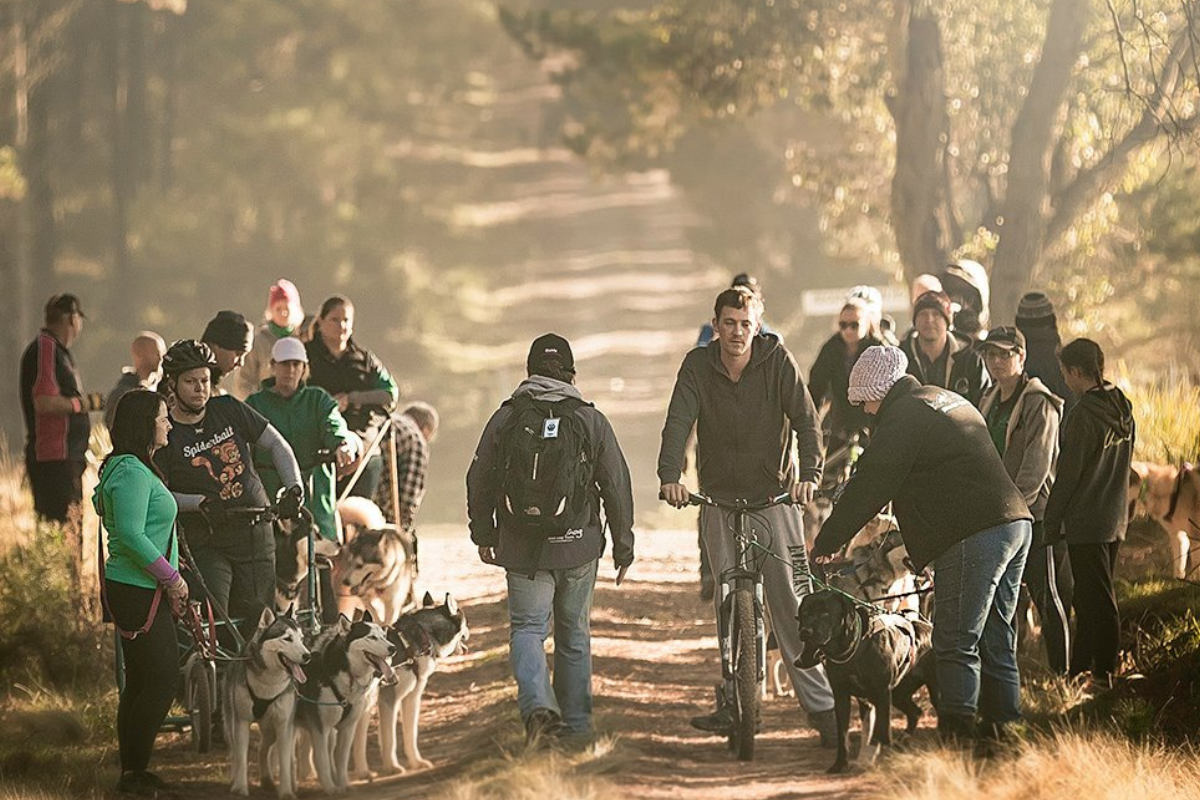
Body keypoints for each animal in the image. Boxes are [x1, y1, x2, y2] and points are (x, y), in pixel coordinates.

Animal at [224, 609, 309, 796]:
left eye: (301, 638)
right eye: (287, 638)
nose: (308, 656)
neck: (268, 683)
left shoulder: (284, 725)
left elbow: (284, 761)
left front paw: (286, 792)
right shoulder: (242, 722)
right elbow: (242, 757)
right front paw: (241, 788)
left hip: (272, 729)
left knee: (263, 748)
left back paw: (267, 780)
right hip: (231, 725)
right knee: (235, 752)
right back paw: (234, 779)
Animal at [295, 609, 393, 791]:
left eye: (384, 635)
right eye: (371, 637)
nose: (393, 648)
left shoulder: (347, 728)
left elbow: (341, 760)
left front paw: (343, 784)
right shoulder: (321, 728)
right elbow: (323, 760)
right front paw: (330, 788)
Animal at [348, 592, 468, 777]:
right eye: (465, 622)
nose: (468, 633)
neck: (410, 643)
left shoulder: (411, 698)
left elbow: (410, 735)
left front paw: (415, 762)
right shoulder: (389, 699)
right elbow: (390, 739)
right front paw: (391, 766)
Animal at [796, 592, 936, 772]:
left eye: (825, 613)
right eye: (804, 613)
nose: (806, 631)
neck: (853, 649)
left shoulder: (881, 693)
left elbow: (881, 732)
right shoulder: (842, 696)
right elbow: (844, 735)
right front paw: (840, 764)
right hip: (899, 694)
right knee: (915, 712)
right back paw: (903, 739)